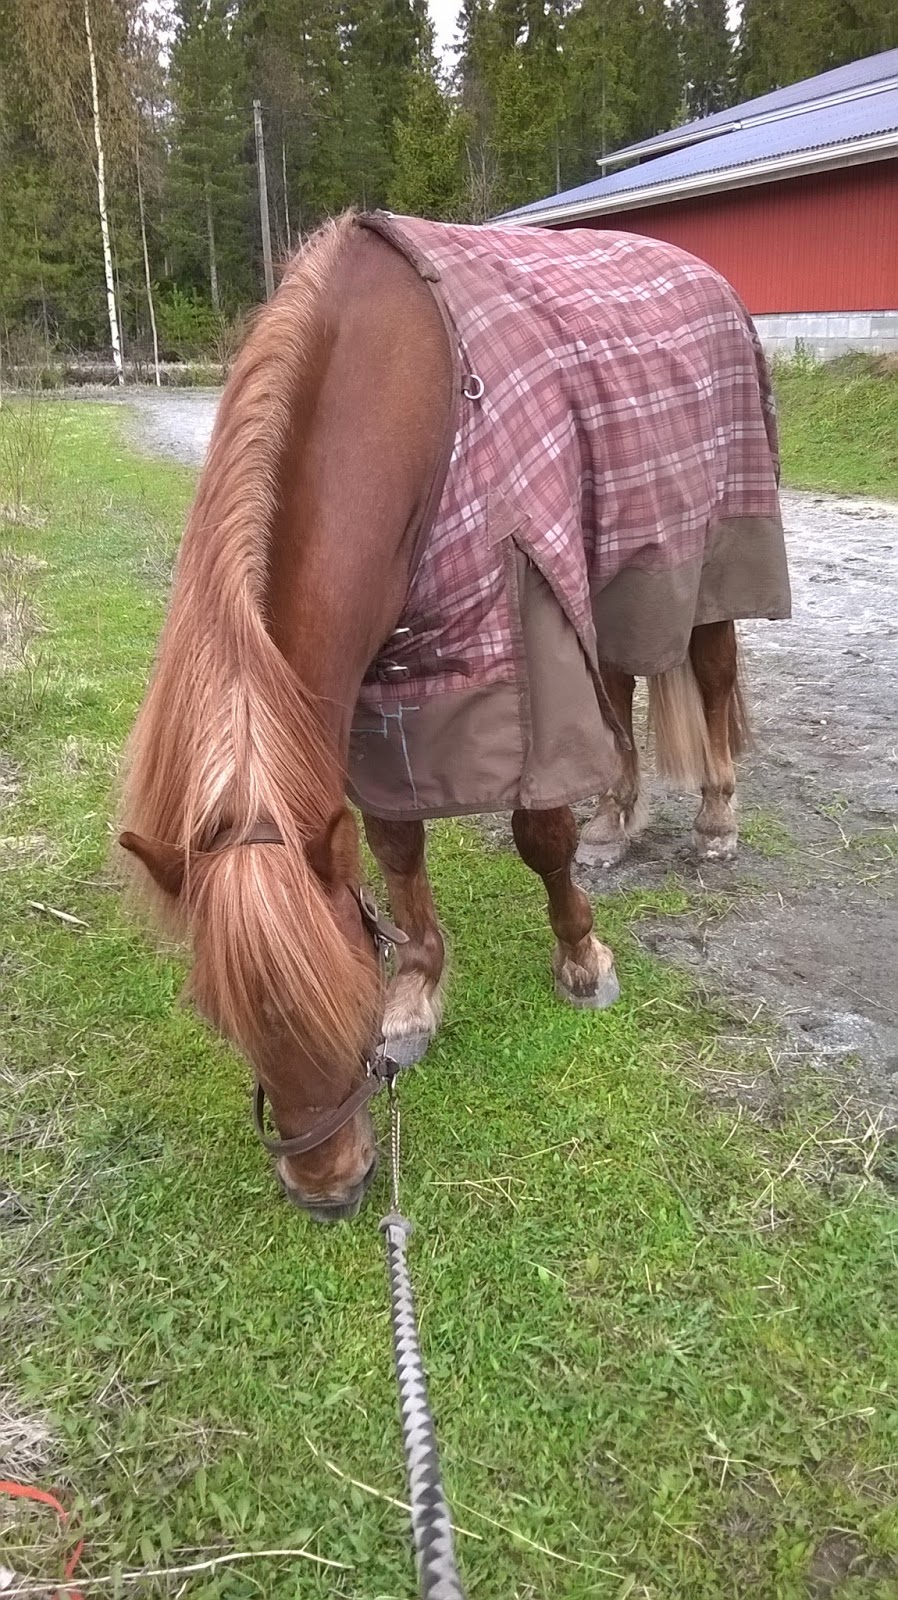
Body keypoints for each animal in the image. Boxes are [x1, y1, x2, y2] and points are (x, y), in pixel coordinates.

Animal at [120, 211, 789, 1221]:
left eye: (341, 996)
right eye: (222, 1018)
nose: (329, 1188)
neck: (399, 406)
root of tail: (700, 271)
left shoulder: (522, 615)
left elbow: (539, 832)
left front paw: (582, 959)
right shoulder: (383, 697)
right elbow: (396, 843)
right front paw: (419, 993)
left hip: (705, 552)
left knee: (709, 675)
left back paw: (715, 820)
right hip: (605, 569)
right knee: (619, 688)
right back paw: (618, 823)